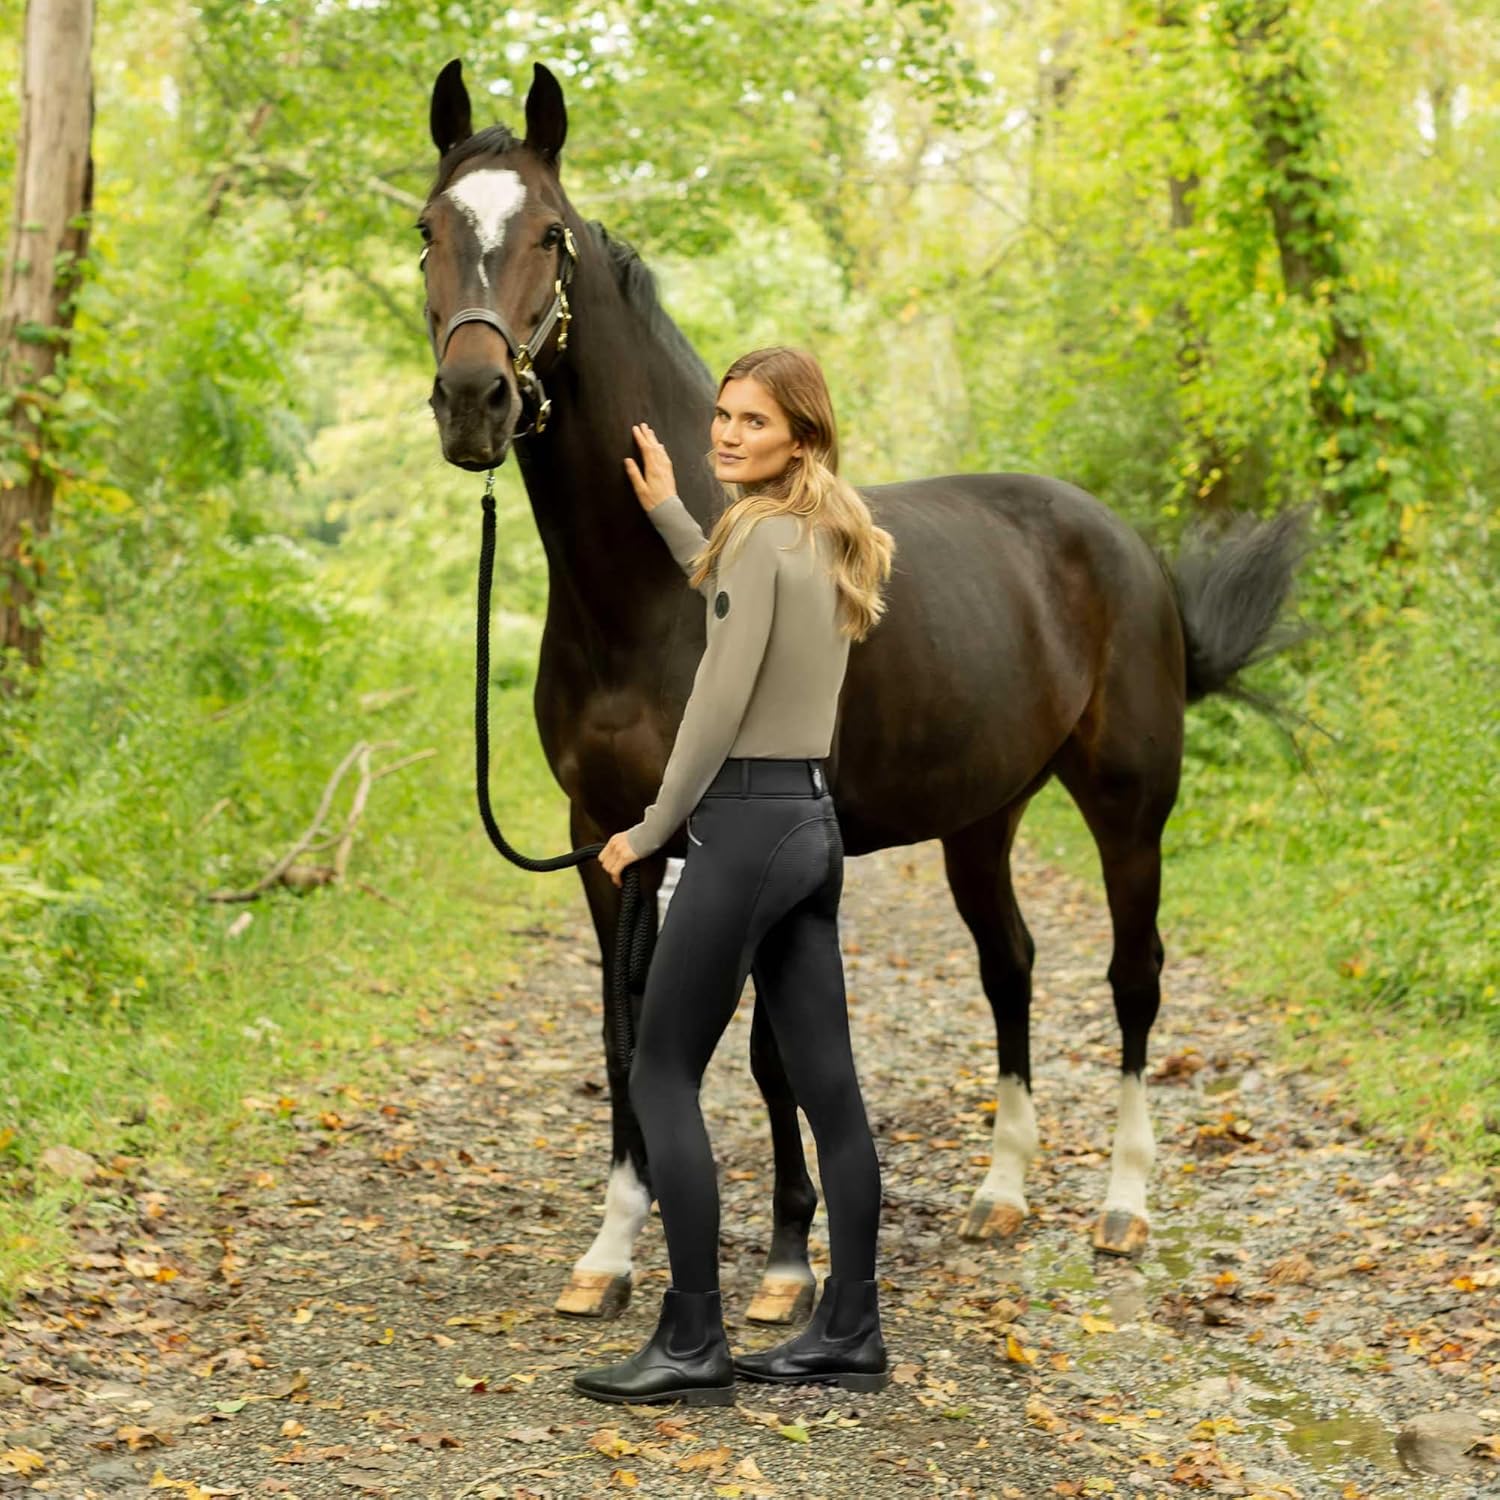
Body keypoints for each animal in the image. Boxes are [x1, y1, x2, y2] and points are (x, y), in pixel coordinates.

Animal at [415, 57, 1306, 1322]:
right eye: (427, 229)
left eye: (550, 234)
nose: (475, 400)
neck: (657, 589)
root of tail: (1122, 544)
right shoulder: (605, 838)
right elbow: (621, 1031)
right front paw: (614, 1250)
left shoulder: (749, 838)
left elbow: (769, 1053)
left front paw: (792, 1264)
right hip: (983, 819)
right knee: (1010, 966)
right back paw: (1002, 1192)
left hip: (1130, 811)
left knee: (1133, 979)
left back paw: (1125, 1206)